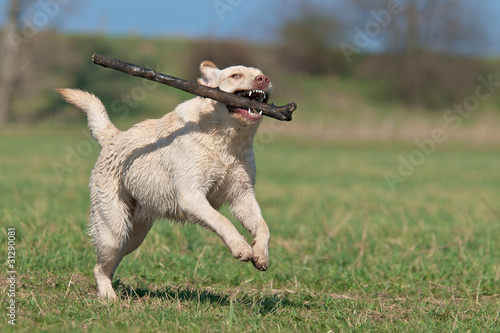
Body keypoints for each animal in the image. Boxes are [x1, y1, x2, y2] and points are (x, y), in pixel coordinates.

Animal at [58, 61, 274, 300]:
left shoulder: (242, 195)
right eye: (236, 75)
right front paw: (241, 247)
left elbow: (263, 226)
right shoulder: (191, 197)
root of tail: (113, 138)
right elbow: (222, 221)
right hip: (113, 231)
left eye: (261, 74)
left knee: (110, 265)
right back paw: (108, 298)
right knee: (99, 267)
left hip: (134, 235)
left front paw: (260, 254)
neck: (226, 140)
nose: (264, 79)